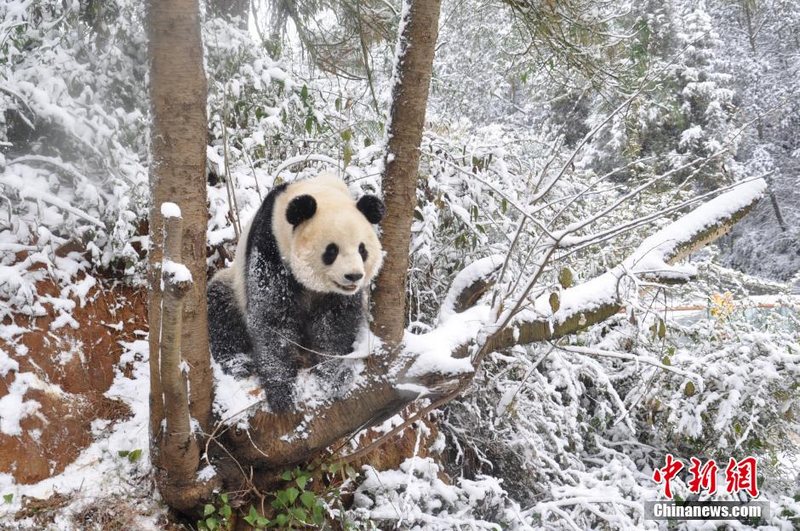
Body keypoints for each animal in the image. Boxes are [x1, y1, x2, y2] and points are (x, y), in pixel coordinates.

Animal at [208, 172, 386, 414]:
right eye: (331, 251)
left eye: (362, 249)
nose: (354, 276)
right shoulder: (270, 247)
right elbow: (272, 320)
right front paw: (282, 392)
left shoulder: (340, 295)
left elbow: (336, 324)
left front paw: (332, 376)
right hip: (233, 287)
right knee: (221, 310)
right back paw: (238, 363)